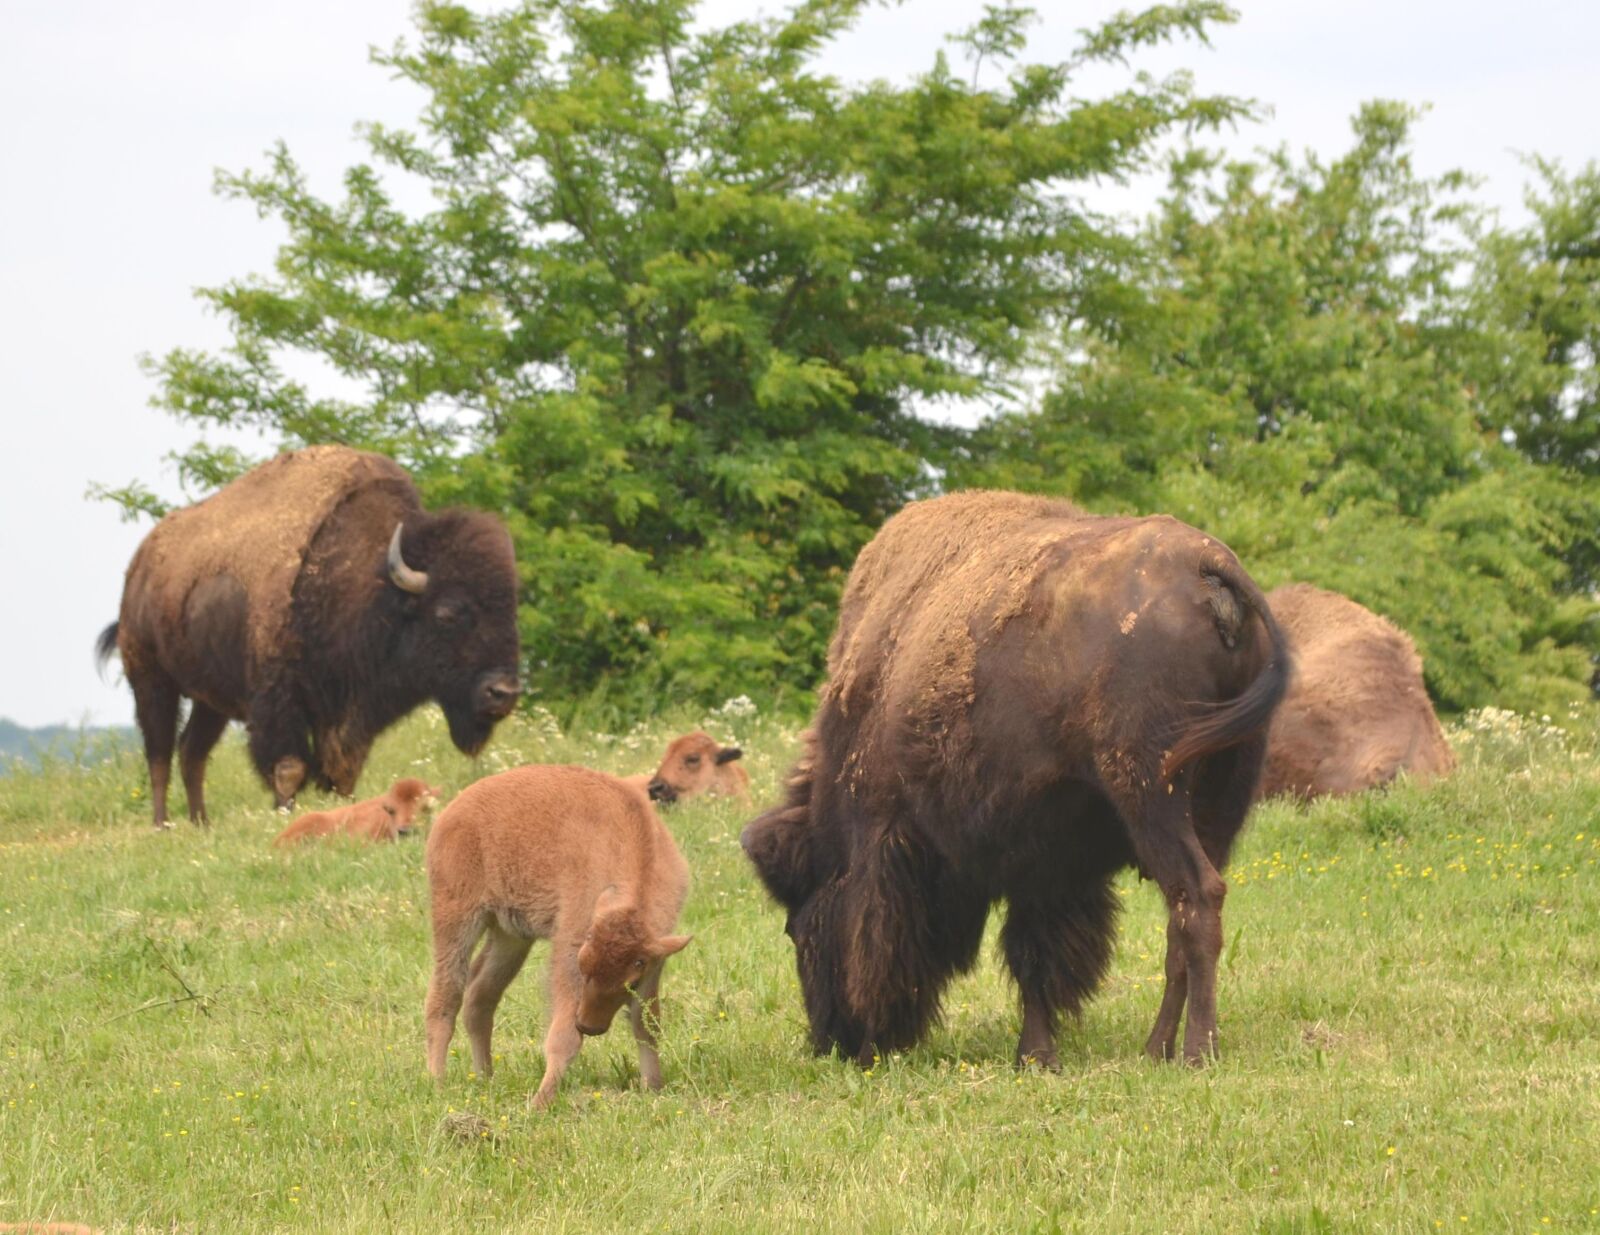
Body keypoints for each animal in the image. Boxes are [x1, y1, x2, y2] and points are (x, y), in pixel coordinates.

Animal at [98, 445, 520, 827]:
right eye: (447, 613)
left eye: (510, 610)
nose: (503, 693)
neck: (367, 583)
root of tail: (140, 567)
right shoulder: (278, 701)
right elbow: (289, 767)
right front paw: (284, 814)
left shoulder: (346, 711)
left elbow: (343, 770)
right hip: (151, 680)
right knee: (159, 753)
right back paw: (161, 824)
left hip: (210, 701)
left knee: (191, 752)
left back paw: (201, 822)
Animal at [741, 491, 1288, 1067]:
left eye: (798, 925)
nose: (832, 1042)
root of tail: (1210, 564)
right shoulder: (1049, 860)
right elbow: (1036, 955)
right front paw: (1039, 1054)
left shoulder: (896, 834)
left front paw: (1033, 1054)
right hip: (1218, 799)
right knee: (1181, 921)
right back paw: (1155, 1048)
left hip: (1151, 794)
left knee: (1197, 900)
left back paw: (1196, 1050)